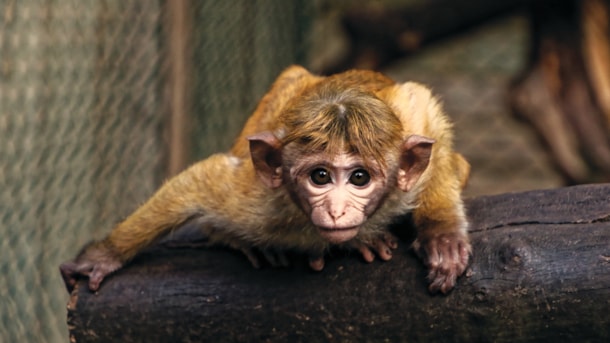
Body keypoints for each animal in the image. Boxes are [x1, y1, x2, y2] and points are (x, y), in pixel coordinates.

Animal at [60, 66, 470, 294]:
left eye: (359, 177)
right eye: (320, 176)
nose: (337, 211)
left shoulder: (409, 134)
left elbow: (422, 103)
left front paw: (441, 234)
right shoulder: (261, 204)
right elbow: (202, 180)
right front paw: (104, 255)